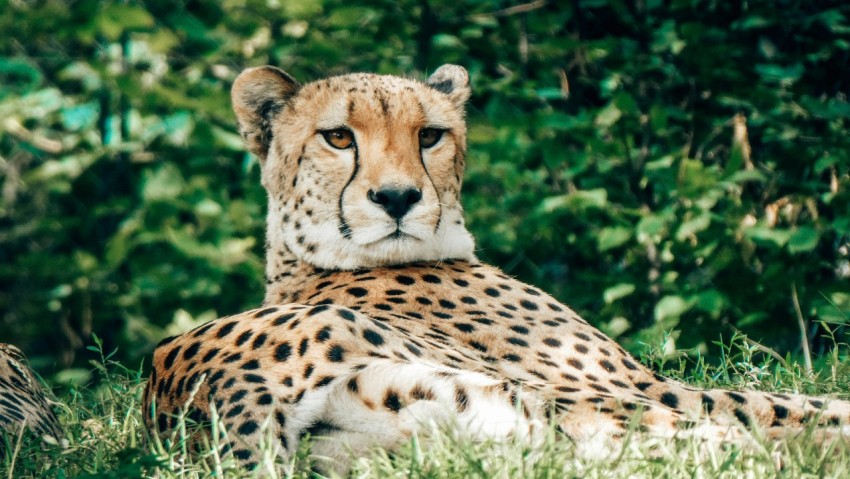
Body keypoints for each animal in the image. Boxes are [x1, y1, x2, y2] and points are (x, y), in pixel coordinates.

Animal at [143, 64, 850, 473]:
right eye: (338, 137)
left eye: (429, 135)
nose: (397, 198)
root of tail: (187, 394)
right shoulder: (641, 386)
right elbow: (799, 404)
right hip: (567, 402)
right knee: (750, 443)